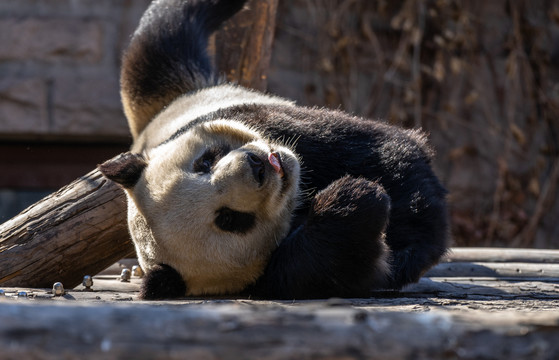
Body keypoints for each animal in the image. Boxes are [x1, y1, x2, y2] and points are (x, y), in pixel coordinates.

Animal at [99, 0, 450, 300]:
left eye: (206, 161)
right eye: (230, 219)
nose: (257, 165)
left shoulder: (269, 123)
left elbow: (378, 150)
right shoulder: (275, 276)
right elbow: (335, 262)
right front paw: (355, 199)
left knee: (162, 37)